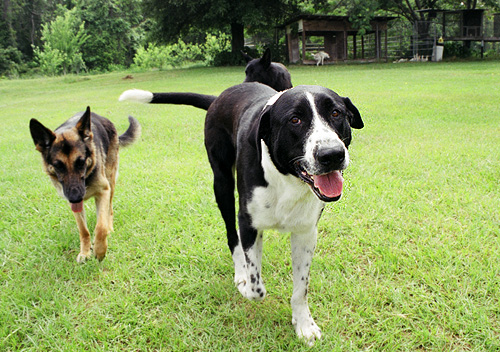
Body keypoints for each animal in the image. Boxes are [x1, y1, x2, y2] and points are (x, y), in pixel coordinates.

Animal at [29, 106, 141, 262]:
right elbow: (83, 230)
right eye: (58, 166)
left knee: (109, 210)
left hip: (111, 181)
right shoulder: (73, 202)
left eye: (81, 162)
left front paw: (100, 250)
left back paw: (109, 227)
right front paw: (85, 252)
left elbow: (100, 227)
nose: (75, 197)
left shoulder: (103, 190)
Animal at [121, 82, 364, 344]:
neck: (286, 178)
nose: (332, 154)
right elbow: (257, 288)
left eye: (336, 113)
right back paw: (240, 273)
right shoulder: (249, 224)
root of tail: (219, 97)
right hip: (222, 186)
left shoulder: (306, 232)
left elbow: (301, 287)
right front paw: (246, 285)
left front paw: (304, 324)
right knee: (231, 236)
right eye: (295, 120)